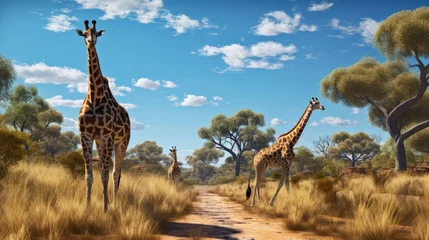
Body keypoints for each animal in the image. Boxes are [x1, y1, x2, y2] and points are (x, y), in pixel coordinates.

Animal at [75, 20, 131, 212]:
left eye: (96, 33)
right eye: (84, 34)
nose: (90, 42)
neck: (94, 96)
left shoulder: (107, 135)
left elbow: (105, 175)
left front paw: (106, 209)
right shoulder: (86, 135)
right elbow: (89, 175)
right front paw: (87, 207)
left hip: (122, 142)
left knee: (116, 172)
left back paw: (114, 203)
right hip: (100, 143)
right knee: (111, 171)